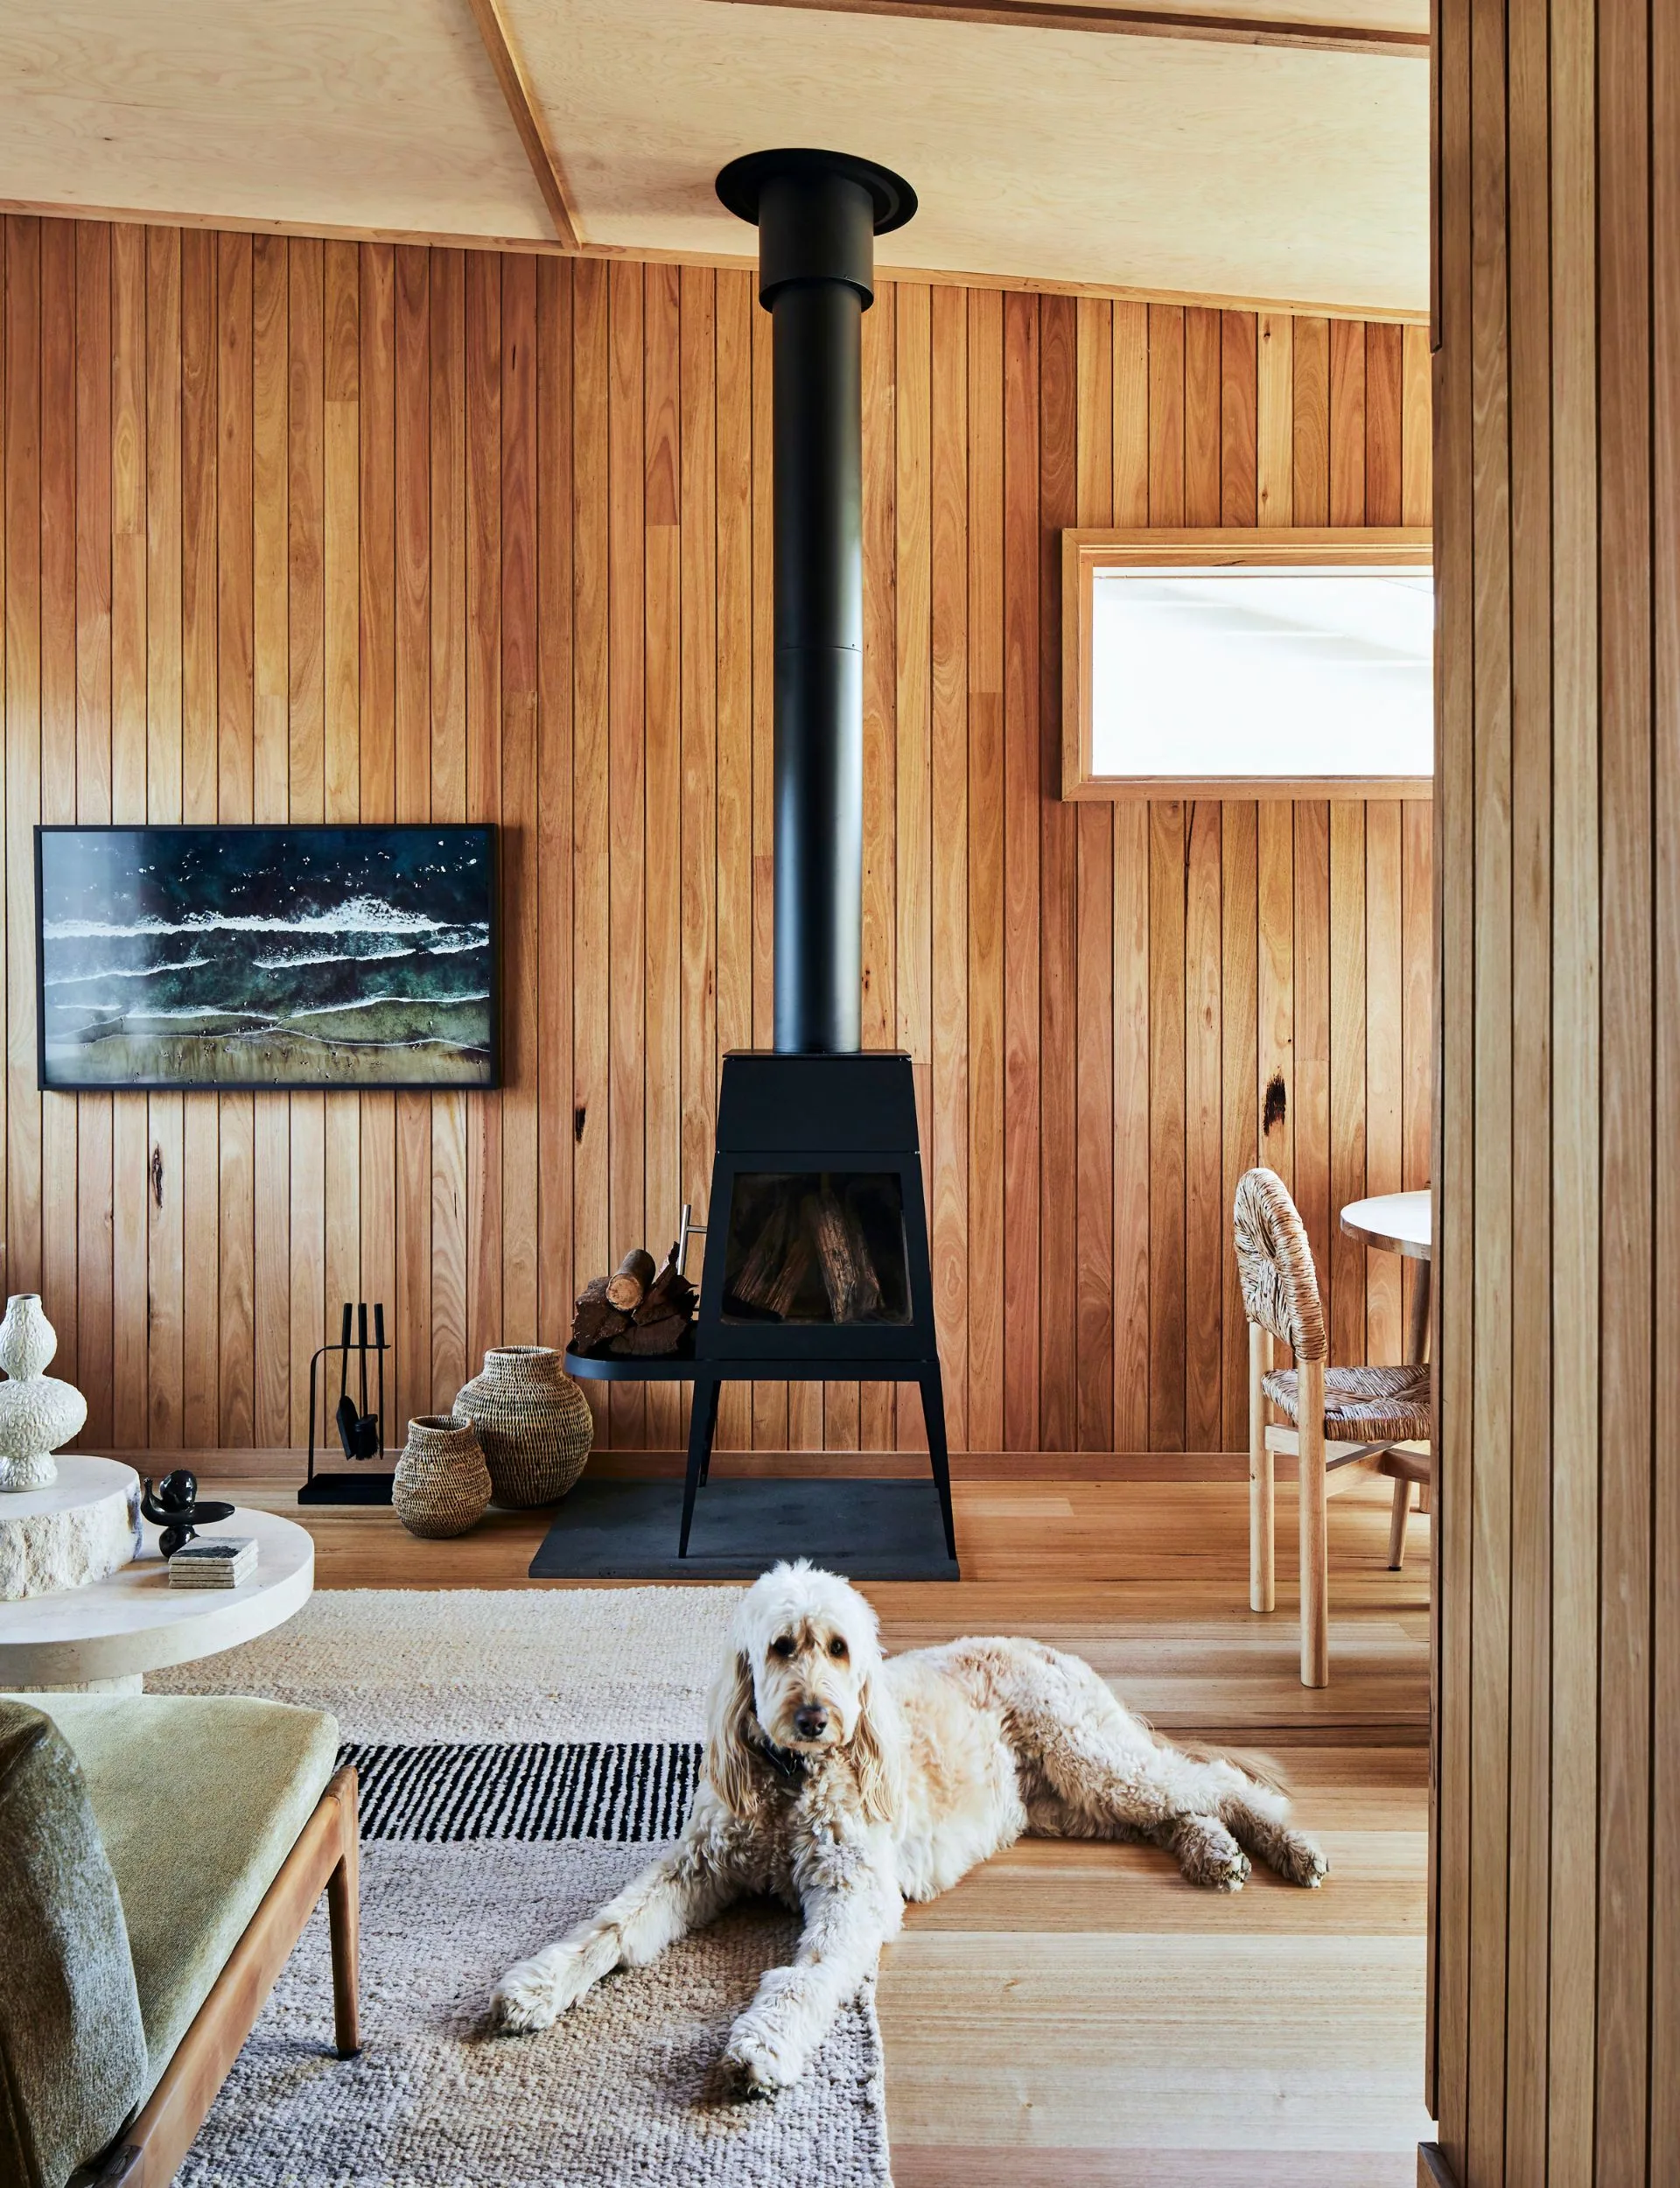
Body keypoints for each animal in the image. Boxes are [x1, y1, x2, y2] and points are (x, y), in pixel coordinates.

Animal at [486, 1567, 1330, 2092]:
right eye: (780, 1648)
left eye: (838, 1648)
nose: (814, 1718)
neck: (794, 1782)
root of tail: (1055, 1649)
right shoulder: (698, 1866)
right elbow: (611, 1927)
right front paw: (537, 1984)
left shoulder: (852, 1894)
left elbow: (805, 1977)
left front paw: (762, 2048)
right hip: (1071, 1802)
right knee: (1176, 1812)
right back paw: (1214, 1854)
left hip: (1092, 1759)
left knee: (1222, 1784)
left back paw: (1290, 1849)